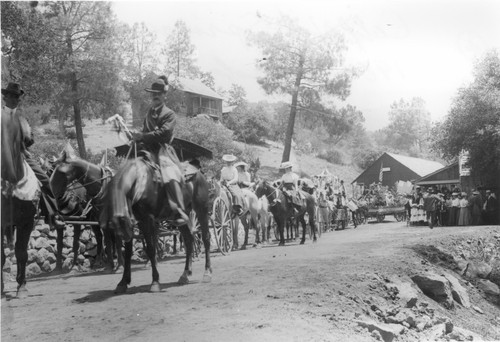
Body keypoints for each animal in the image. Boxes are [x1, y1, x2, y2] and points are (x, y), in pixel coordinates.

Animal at [100, 156, 212, 292]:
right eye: (118, 232)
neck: (138, 182)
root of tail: (198, 171)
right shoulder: (136, 222)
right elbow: (128, 253)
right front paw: (123, 282)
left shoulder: (147, 219)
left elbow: (151, 248)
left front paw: (155, 282)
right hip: (181, 217)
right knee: (189, 240)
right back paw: (185, 274)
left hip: (201, 209)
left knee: (206, 238)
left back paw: (207, 273)